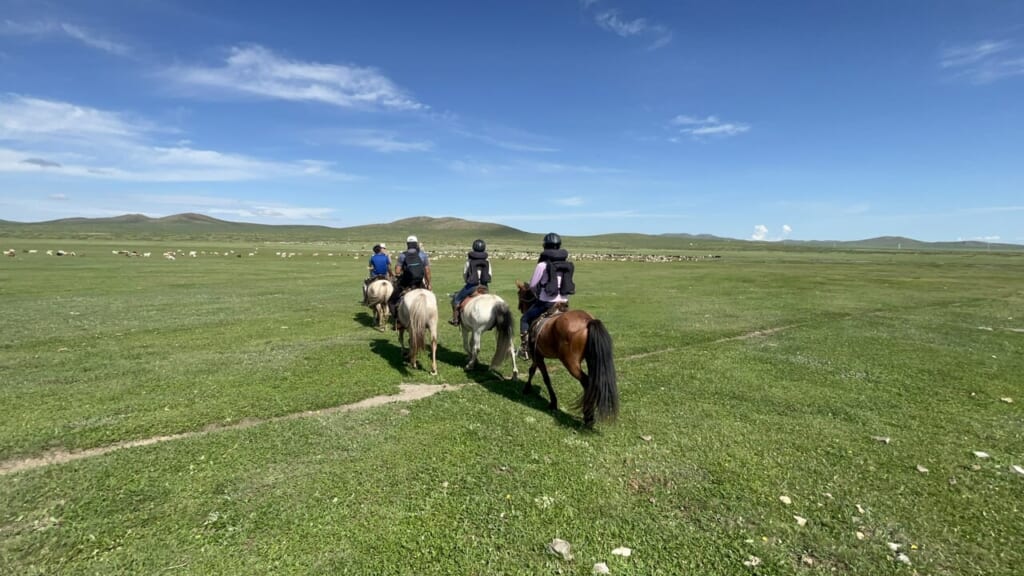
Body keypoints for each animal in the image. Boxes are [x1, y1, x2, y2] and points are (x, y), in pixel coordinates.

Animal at [516, 278, 618, 426]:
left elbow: (546, 378)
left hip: (570, 362)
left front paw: (553, 402)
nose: (519, 308)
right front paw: (527, 388)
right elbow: (532, 370)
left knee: (586, 381)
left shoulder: (537, 356)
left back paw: (588, 417)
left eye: (519, 294)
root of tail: (588, 321)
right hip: (591, 359)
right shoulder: (538, 354)